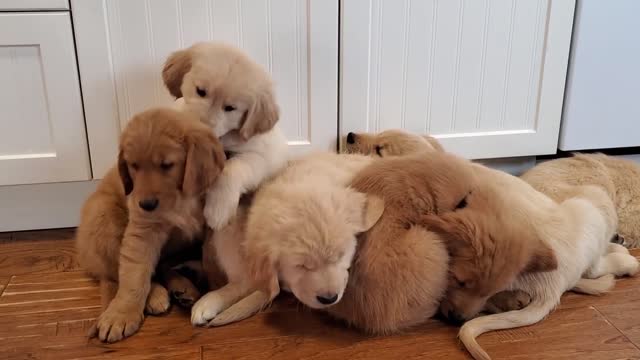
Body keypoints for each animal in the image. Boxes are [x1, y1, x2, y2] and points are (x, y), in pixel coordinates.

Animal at [75, 107, 226, 344]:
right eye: (133, 166)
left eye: (167, 165)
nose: (146, 204)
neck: (181, 198)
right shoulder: (143, 230)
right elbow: (134, 275)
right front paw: (121, 314)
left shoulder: (211, 222)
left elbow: (211, 257)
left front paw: (216, 290)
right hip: (102, 215)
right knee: (118, 273)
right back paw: (155, 295)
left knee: (162, 265)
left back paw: (183, 288)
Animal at [162, 41, 288, 231]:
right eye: (200, 91)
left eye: (230, 108)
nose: (203, 127)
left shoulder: (258, 157)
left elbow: (231, 168)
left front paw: (218, 211)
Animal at [420, 159, 640, 358]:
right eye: (459, 281)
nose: (456, 319)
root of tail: (554, 288)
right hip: (592, 204)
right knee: (594, 267)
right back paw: (626, 259)